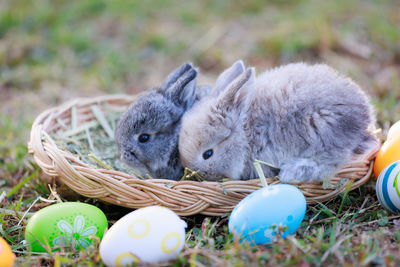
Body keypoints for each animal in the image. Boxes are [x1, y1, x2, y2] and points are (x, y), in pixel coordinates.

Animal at [180, 63, 380, 184]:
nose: (199, 176)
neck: (246, 133)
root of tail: (366, 115)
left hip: (322, 131)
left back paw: (291, 172)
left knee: (331, 162)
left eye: (208, 154)